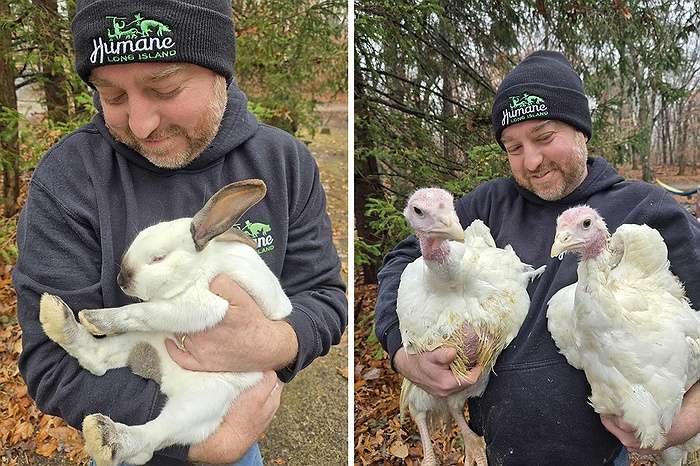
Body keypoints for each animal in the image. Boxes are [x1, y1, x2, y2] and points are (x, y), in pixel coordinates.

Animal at [39, 179, 292, 466]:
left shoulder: (204, 306)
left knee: (152, 437)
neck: (201, 266)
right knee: (97, 359)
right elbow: (142, 312)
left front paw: (94, 318)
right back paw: (56, 317)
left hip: (204, 400)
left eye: (158, 258)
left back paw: (104, 438)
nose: (121, 281)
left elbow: (141, 311)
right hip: (143, 342)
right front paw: (90, 319)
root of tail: (169, 381)